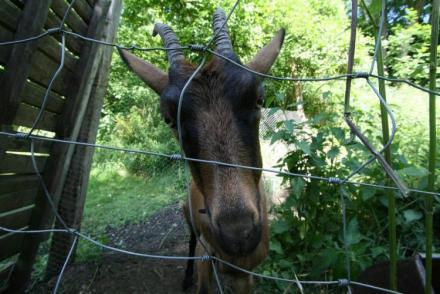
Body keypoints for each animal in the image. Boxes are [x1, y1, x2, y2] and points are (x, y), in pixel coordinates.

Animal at [119, 8, 286, 292]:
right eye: (168, 118)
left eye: (259, 99)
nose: (238, 233)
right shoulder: (206, 253)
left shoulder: (245, 271)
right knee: (190, 240)